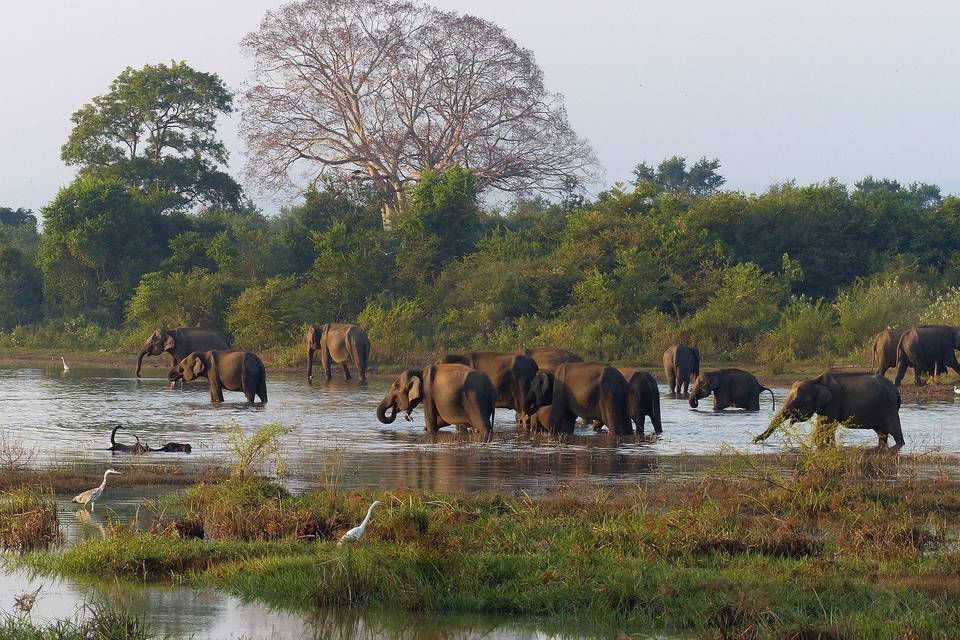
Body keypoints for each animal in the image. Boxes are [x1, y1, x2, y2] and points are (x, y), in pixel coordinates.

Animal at [752, 370, 904, 450]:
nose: (754, 441)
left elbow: (828, 425)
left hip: (888, 407)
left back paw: (899, 445)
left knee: (894, 429)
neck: (815, 380)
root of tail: (896, 391)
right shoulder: (825, 405)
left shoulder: (834, 401)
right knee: (881, 433)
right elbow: (822, 424)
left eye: (799, 401)